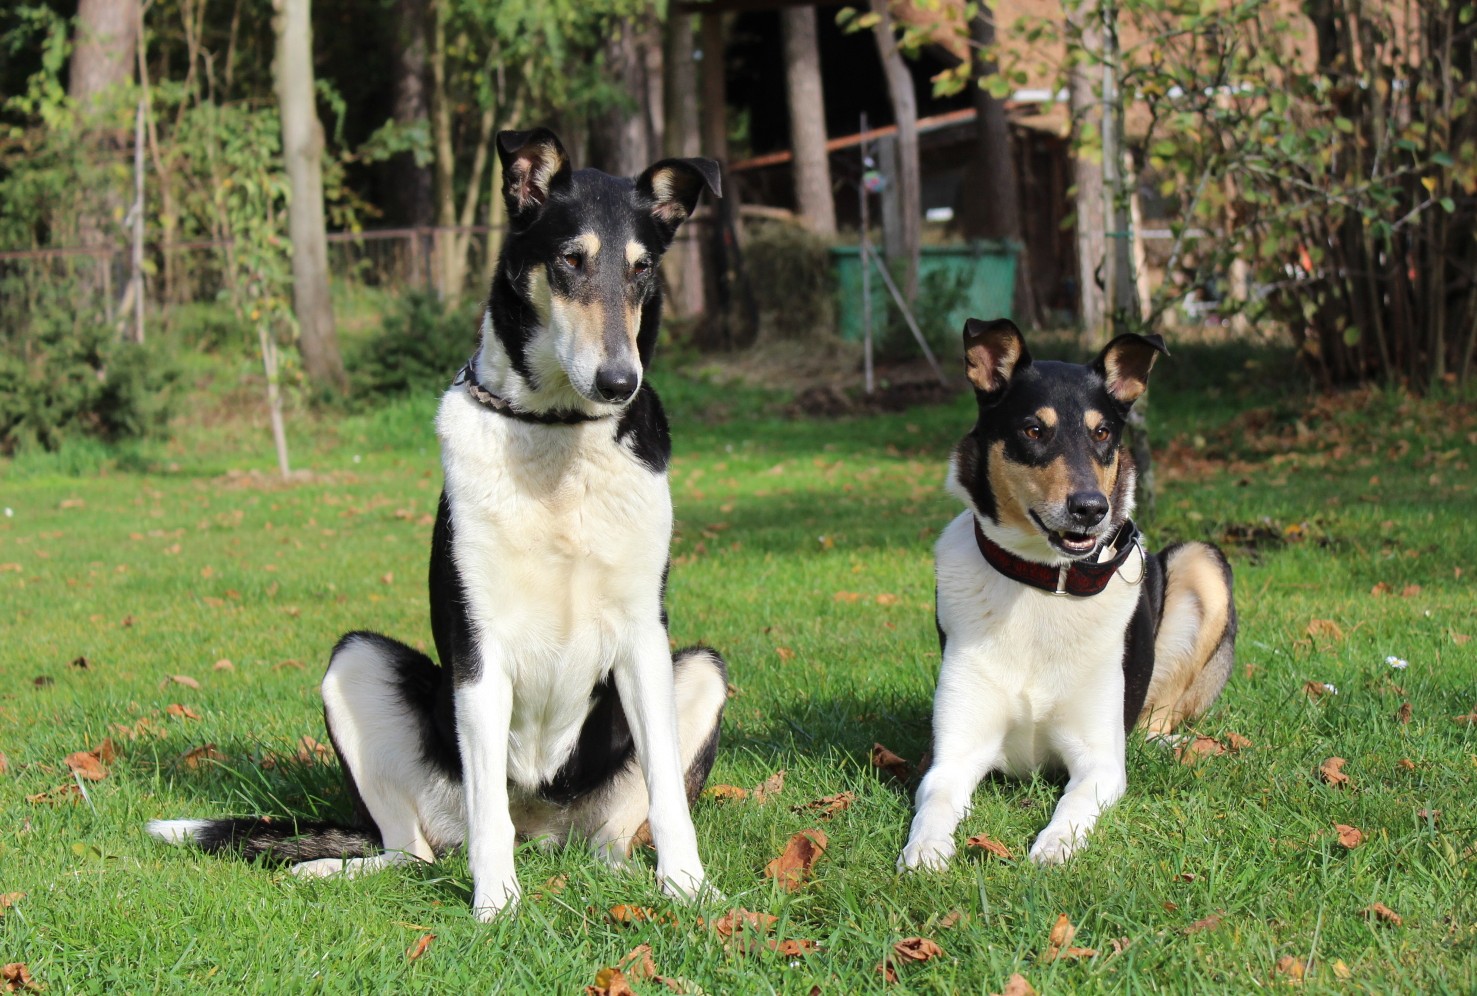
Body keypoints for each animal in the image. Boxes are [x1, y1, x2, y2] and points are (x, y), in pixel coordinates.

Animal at [149, 127, 726, 922]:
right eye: (569, 260)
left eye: (642, 269)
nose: (619, 382)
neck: (556, 434)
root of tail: (545, 830)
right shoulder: (478, 646)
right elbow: (487, 811)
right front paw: (496, 910)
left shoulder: (644, 635)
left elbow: (670, 794)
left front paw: (690, 888)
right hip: (356, 665)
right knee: (416, 849)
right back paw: (332, 869)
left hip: (695, 675)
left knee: (610, 836)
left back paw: (620, 875)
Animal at [898, 317, 1234, 868]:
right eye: (1034, 429)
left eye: (1102, 433)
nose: (1091, 508)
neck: (1043, 584)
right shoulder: (952, 756)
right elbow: (935, 804)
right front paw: (925, 850)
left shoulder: (1098, 762)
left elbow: (1072, 805)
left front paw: (1053, 847)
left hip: (1202, 561)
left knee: (1156, 719)